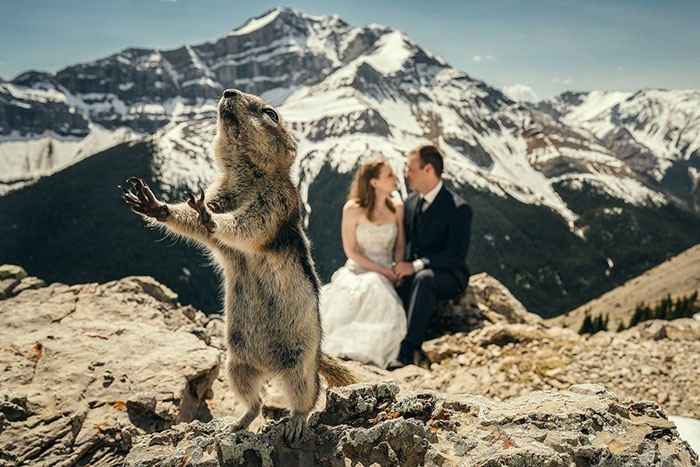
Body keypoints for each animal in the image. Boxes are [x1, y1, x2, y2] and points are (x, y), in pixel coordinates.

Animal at [121, 88, 356, 444]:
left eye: (270, 113)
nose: (227, 91)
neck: (246, 176)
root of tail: (270, 367)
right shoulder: (220, 192)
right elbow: (196, 224)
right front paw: (157, 206)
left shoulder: (275, 202)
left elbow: (248, 225)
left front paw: (211, 218)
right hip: (236, 364)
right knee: (255, 401)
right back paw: (238, 423)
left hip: (299, 366)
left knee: (307, 395)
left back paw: (296, 421)